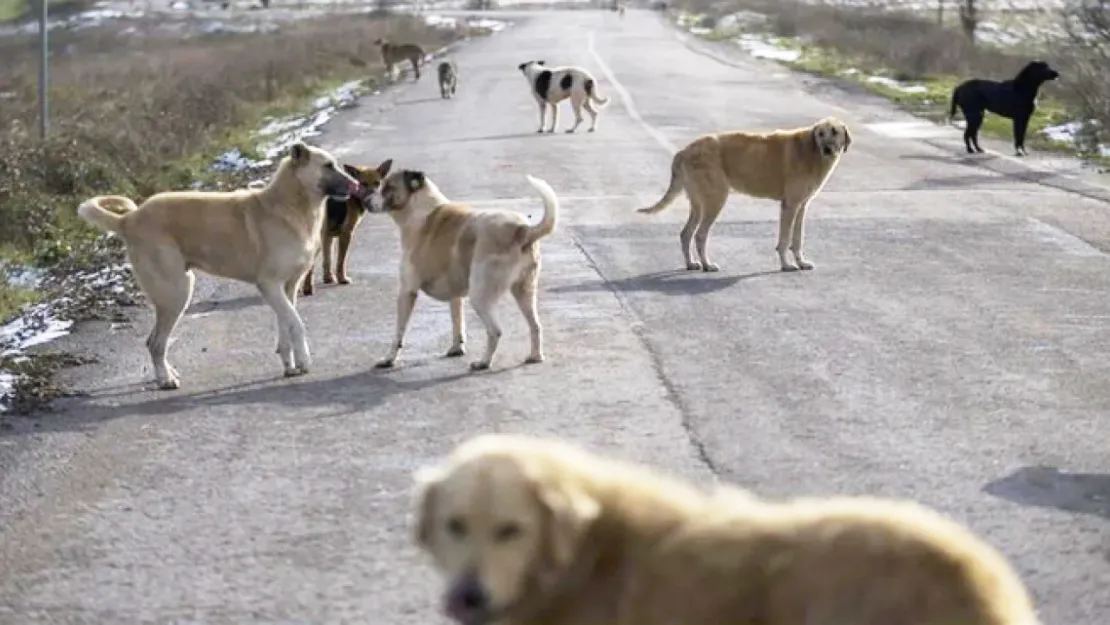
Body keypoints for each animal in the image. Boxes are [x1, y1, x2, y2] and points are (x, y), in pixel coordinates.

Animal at [77, 142, 355, 388]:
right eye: (328, 165)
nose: (355, 185)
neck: (288, 206)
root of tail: (128, 220)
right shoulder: (269, 285)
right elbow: (296, 323)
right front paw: (305, 361)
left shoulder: (288, 287)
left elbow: (285, 326)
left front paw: (290, 366)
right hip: (176, 292)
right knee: (155, 343)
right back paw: (165, 379)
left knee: (154, 342)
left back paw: (168, 373)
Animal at [366, 168, 559, 370]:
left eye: (388, 187)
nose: (365, 201)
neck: (419, 208)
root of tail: (521, 229)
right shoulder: (455, 294)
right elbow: (457, 322)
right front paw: (456, 348)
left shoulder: (406, 291)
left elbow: (398, 332)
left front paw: (389, 358)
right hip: (524, 291)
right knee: (535, 325)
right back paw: (535, 356)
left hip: (480, 296)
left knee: (495, 331)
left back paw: (483, 362)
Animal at [634, 118, 856, 274]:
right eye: (820, 134)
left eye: (834, 132)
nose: (827, 149)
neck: (811, 151)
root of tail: (684, 151)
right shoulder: (790, 206)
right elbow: (784, 240)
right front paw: (786, 265)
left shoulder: (801, 206)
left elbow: (797, 238)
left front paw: (801, 262)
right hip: (715, 200)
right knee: (700, 235)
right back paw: (707, 265)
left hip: (698, 204)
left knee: (686, 233)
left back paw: (692, 263)